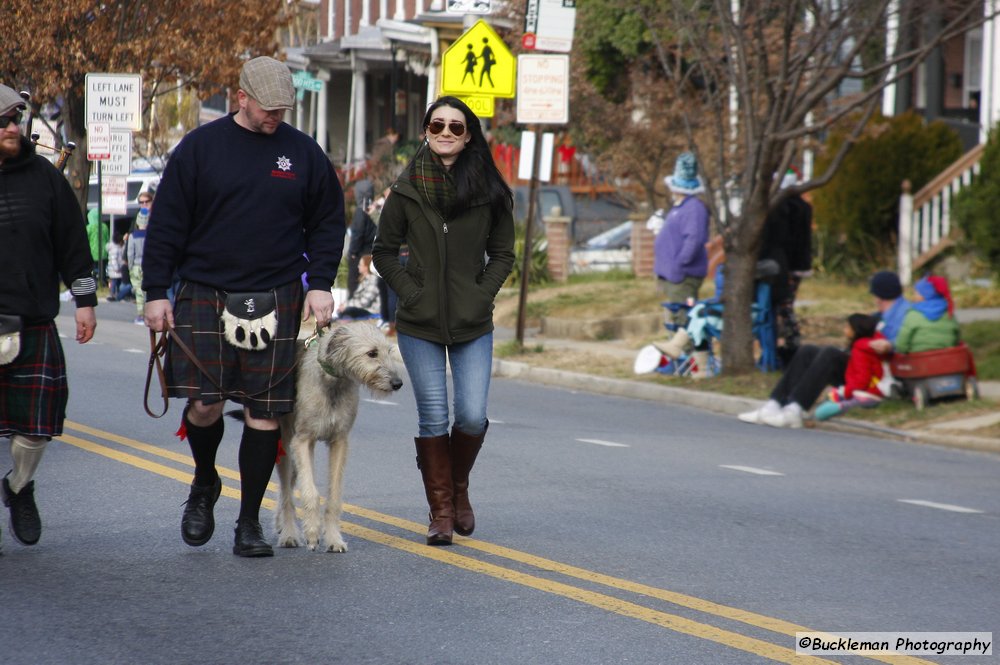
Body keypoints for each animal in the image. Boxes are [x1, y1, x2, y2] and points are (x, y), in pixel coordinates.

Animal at [274, 322, 402, 548]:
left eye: (389, 351)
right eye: (372, 353)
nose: (398, 383)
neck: (333, 382)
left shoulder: (339, 442)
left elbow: (333, 495)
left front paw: (333, 539)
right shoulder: (302, 441)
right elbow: (311, 492)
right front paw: (312, 531)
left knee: (286, 489)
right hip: (286, 447)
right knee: (286, 492)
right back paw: (289, 533)